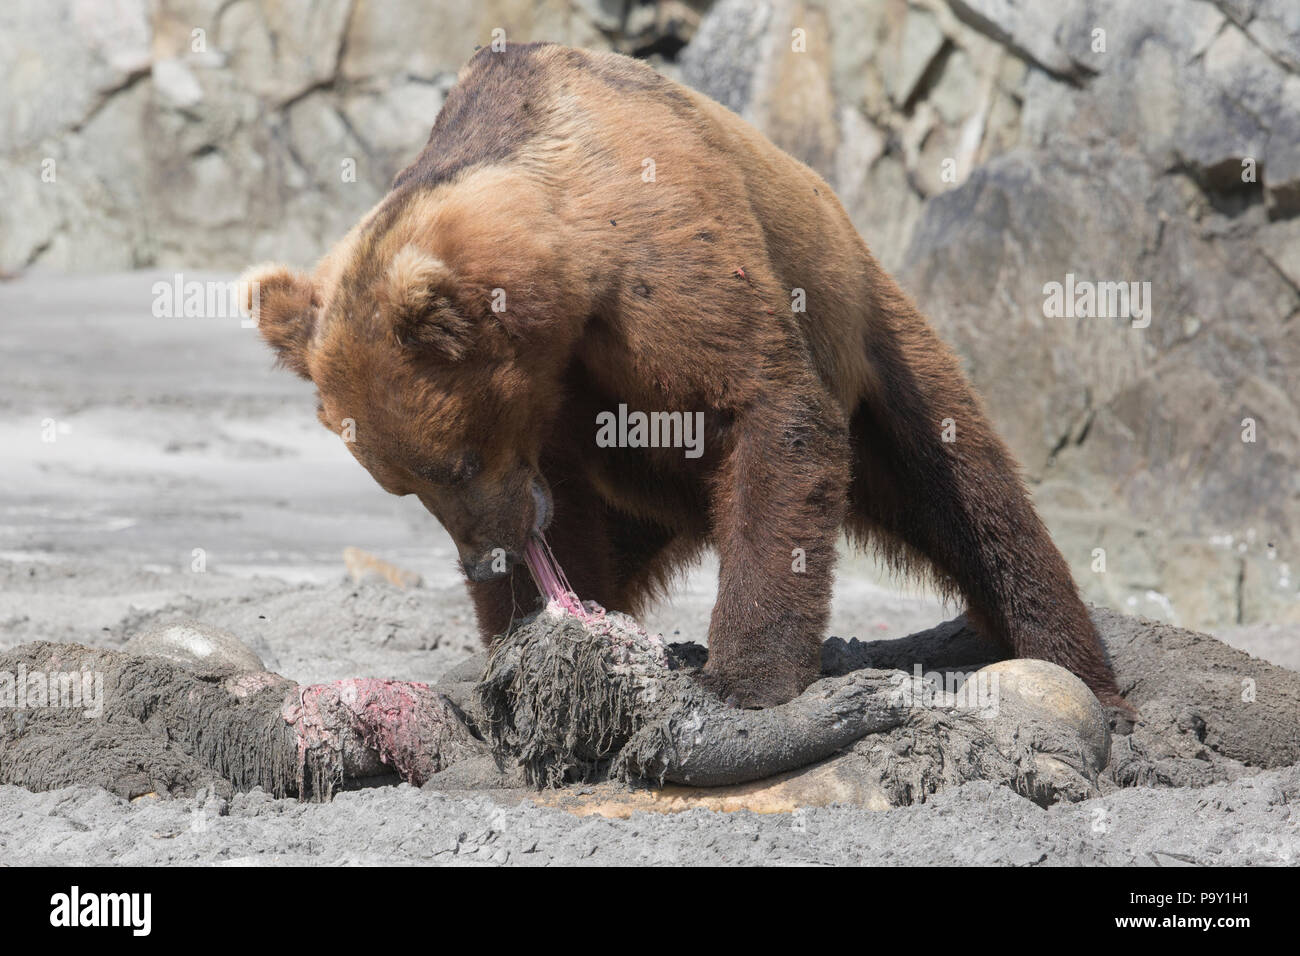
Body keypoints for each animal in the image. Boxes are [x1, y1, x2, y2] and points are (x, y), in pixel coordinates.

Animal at [244, 42, 1130, 715]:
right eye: (401, 484)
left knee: (973, 493)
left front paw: (743, 674)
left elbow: (771, 408)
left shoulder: (668, 275)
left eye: (454, 462)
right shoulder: (558, 414)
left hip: (874, 335)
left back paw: (1080, 667)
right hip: (646, 496)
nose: (486, 561)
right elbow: (568, 515)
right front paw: (530, 640)